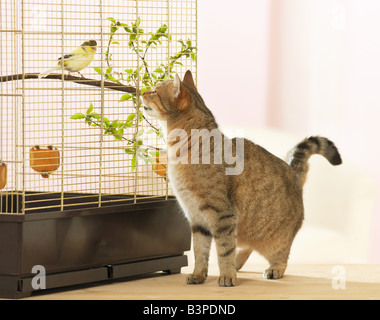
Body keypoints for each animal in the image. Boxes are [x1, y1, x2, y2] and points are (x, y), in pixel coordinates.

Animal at [142, 71, 342, 286]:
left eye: (154, 91)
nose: (142, 92)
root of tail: (293, 171)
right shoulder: (197, 219)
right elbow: (200, 251)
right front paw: (198, 274)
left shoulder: (222, 214)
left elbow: (223, 249)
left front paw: (227, 276)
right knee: (246, 246)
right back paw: (238, 263)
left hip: (275, 239)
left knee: (281, 255)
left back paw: (272, 269)